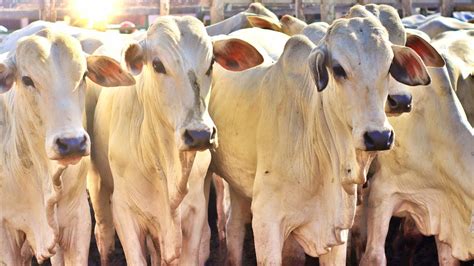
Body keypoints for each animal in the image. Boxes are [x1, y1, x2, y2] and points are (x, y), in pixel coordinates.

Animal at [88, 15, 266, 264]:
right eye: (157, 64)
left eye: (211, 63)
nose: (200, 134)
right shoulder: (125, 213)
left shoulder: (195, 212)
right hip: (97, 184)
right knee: (103, 234)